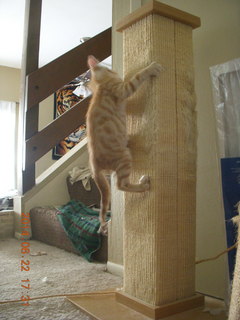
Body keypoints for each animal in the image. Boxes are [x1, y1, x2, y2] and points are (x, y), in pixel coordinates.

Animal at [86, 55, 163, 235]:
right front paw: (151, 68)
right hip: (124, 157)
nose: (111, 66)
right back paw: (143, 185)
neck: (100, 86)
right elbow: (137, 77)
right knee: (121, 185)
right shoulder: (122, 89)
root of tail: (93, 166)